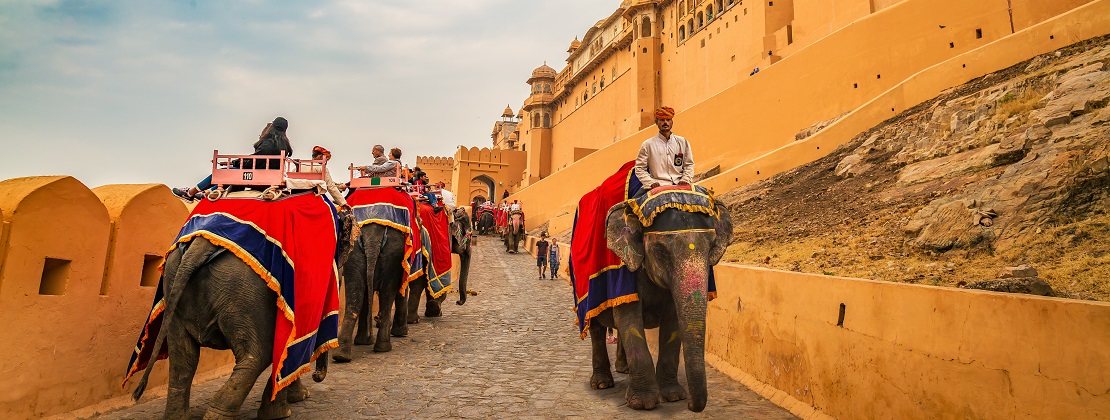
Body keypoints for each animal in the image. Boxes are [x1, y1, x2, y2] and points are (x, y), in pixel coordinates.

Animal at [130, 215, 356, 419]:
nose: (318, 377)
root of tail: (199, 247)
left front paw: (296, 398)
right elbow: (291, 349)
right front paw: (287, 408)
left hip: (176, 280)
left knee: (183, 358)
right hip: (243, 290)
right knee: (257, 356)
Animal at [589, 200, 732, 412]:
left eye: (711, 248)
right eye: (660, 251)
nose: (691, 404)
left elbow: (672, 321)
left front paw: (673, 397)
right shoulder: (625, 274)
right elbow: (629, 318)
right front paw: (642, 403)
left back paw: (623, 369)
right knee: (596, 329)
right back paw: (601, 383)